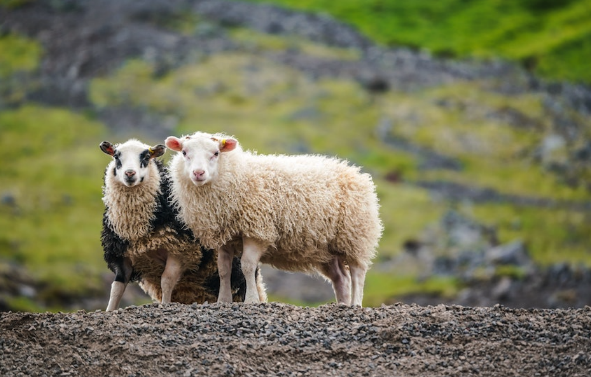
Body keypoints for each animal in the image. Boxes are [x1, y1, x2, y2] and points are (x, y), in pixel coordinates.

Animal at [100, 140, 268, 310]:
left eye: (146, 157)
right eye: (116, 156)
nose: (129, 174)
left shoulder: (181, 250)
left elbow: (166, 281)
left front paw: (164, 305)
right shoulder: (121, 253)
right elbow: (117, 287)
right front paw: (109, 310)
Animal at [165, 132, 384, 306]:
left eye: (216, 153)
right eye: (184, 153)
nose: (198, 173)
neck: (237, 176)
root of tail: (357, 173)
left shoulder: (257, 230)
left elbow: (247, 265)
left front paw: (252, 300)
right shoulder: (225, 236)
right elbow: (224, 270)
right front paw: (223, 301)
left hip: (355, 236)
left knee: (357, 273)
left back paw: (355, 304)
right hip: (329, 248)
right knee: (341, 279)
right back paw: (342, 305)